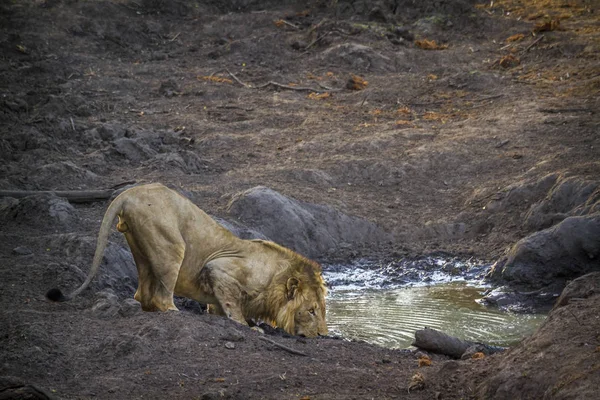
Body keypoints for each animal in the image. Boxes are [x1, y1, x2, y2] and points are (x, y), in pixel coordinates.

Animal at [46, 184, 328, 338]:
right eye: (311, 310)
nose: (322, 335)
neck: (275, 278)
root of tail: (129, 193)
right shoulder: (219, 268)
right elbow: (234, 307)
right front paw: (249, 327)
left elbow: (221, 306)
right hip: (172, 246)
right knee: (161, 297)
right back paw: (176, 312)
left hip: (142, 250)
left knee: (142, 295)